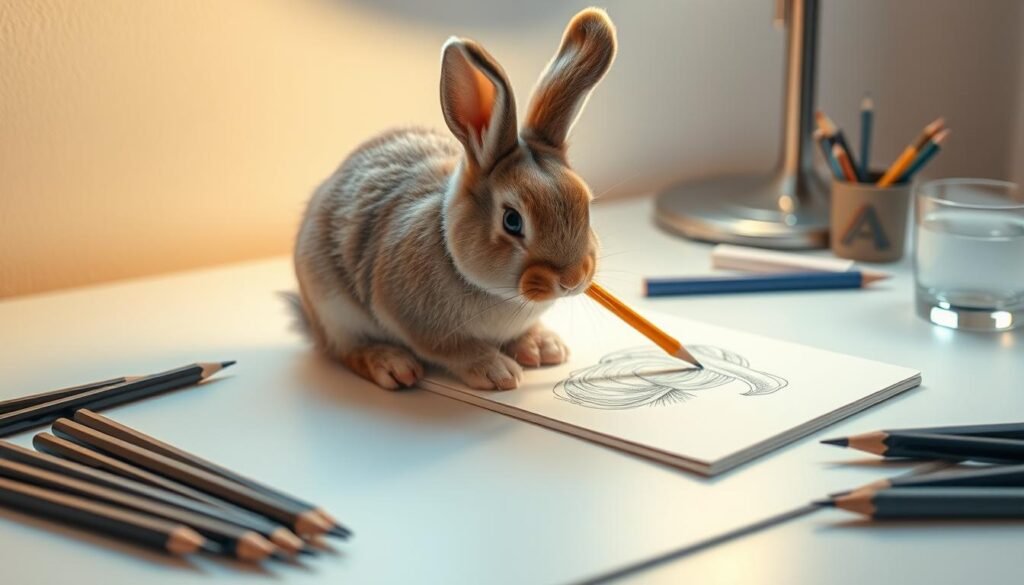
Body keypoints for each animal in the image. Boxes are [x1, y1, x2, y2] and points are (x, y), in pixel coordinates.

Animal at [293, 8, 617, 391]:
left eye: (586, 204)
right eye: (512, 220)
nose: (572, 279)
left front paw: (543, 347)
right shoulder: (413, 318)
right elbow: (453, 348)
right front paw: (497, 371)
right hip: (333, 309)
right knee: (345, 349)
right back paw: (391, 363)